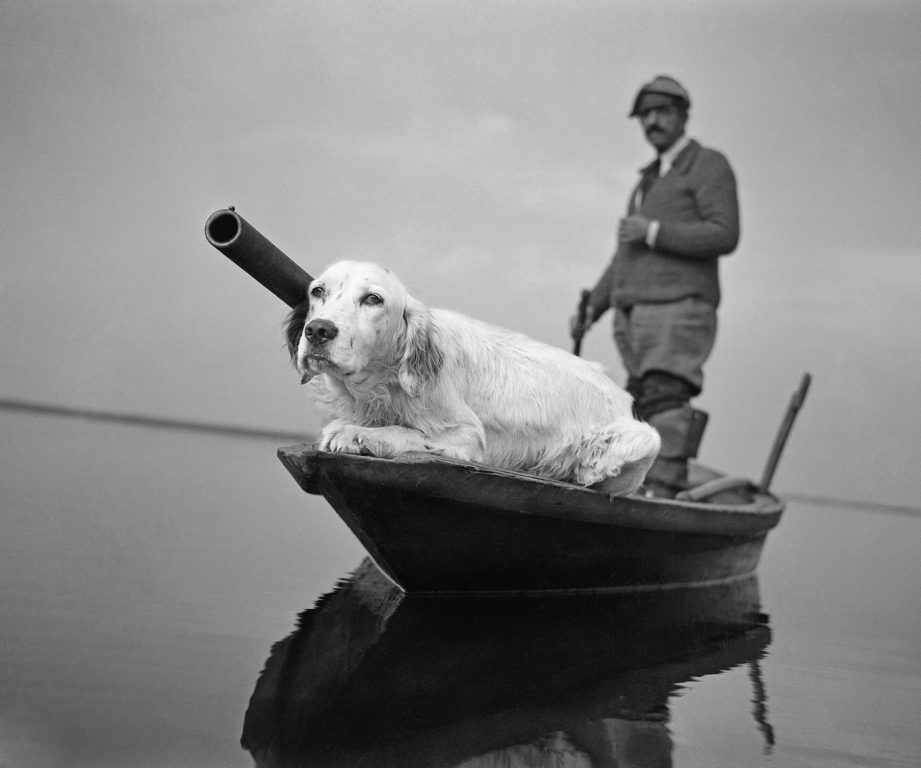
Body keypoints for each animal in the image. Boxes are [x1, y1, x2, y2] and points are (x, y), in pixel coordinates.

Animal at [284, 260, 656, 496]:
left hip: (645, 438)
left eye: (373, 299)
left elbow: (407, 431)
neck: (381, 382)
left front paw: (360, 435)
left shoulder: (468, 436)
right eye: (318, 291)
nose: (317, 330)